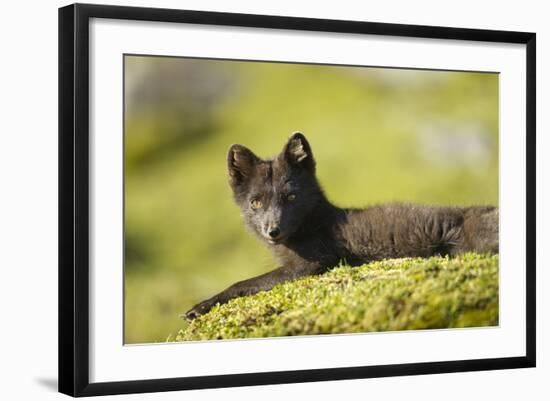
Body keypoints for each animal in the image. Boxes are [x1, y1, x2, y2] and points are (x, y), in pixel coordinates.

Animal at [185, 133, 500, 320]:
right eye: (256, 202)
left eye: (291, 197)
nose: (273, 231)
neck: (314, 223)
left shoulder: (313, 262)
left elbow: (243, 283)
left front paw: (200, 306)